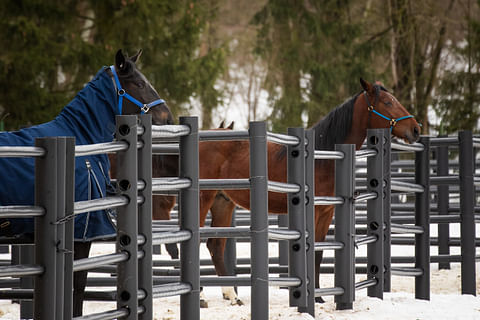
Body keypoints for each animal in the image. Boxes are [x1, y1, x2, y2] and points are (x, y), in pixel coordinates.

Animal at [195, 78, 420, 304]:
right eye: (387, 102)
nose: (416, 129)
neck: (321, 158)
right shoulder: (314, 211)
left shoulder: (327, 213)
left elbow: (318, 253)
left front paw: (318, 297)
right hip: (203, 200)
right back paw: (202, 297)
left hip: (223, 202)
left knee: (215, 246)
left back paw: (232, 296)